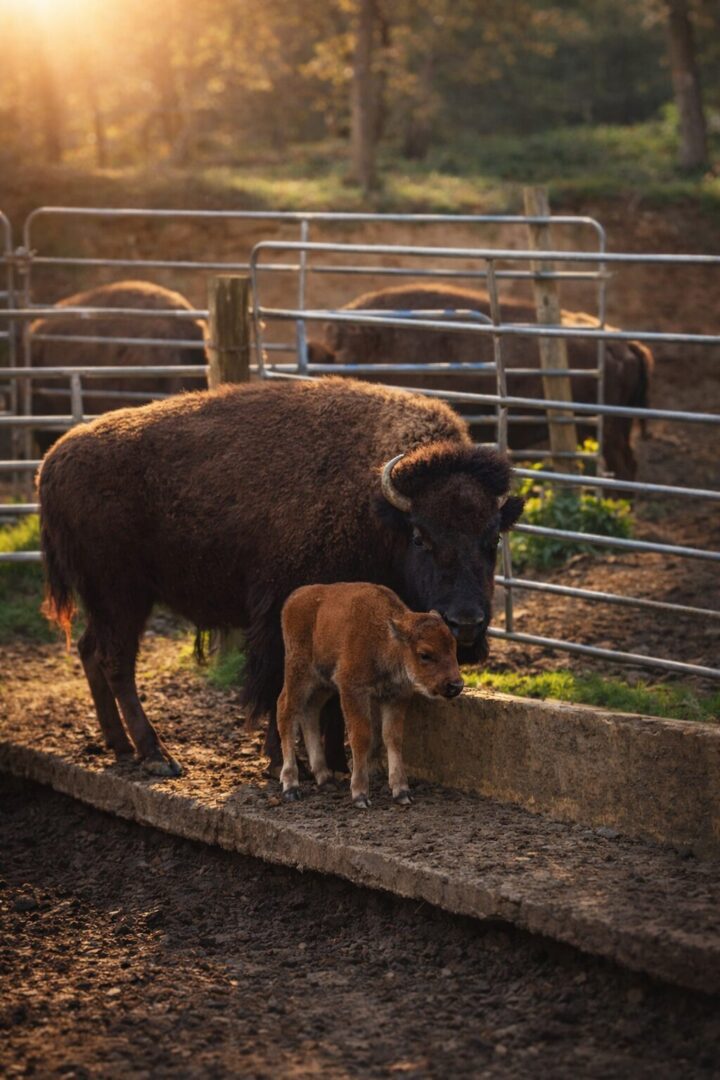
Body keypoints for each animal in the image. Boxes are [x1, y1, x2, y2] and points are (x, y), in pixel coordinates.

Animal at [38, 377, 523, 778]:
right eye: (421, 536)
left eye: (492, 538)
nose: (465, 624)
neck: (376, 509)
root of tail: (53, 460)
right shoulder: (280, 617)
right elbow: (281, 686)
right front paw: (282, 763)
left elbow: (333, 696)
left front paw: (336, 763)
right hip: (121, 594)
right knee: (116, 661)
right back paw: (157, 756)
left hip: (108, 601)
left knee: (90, 651)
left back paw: (119, 745)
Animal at [278, 582, 463, 807]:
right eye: (424, 654)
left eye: (453, 647)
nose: (455, 685)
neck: (386, 639)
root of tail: (294, 598)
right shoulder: (352, 691)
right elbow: (362, 737)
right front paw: (360, 794)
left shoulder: (396, 696)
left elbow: (392, 737)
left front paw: (402, 791)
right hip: (299, 674)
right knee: (285, 711)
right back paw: (291, 786)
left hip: (322, 684)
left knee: (309, 713)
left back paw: (325, 779)